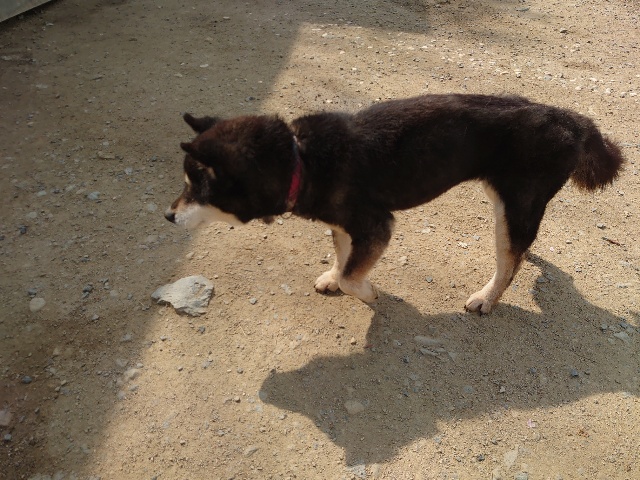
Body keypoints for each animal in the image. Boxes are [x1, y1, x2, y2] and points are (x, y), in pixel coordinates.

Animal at [165, 94, 624, 313]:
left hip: (514, 208)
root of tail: (572, 120)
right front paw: (332, 276)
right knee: (522, 252)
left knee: (508, 263)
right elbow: (343, 258)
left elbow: (354, 276)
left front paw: (367, 292)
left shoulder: (377, 224)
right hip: (510, 207)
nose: (168, 215)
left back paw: (486, 298)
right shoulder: (347, 226)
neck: (301, 160)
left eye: (196, 187)